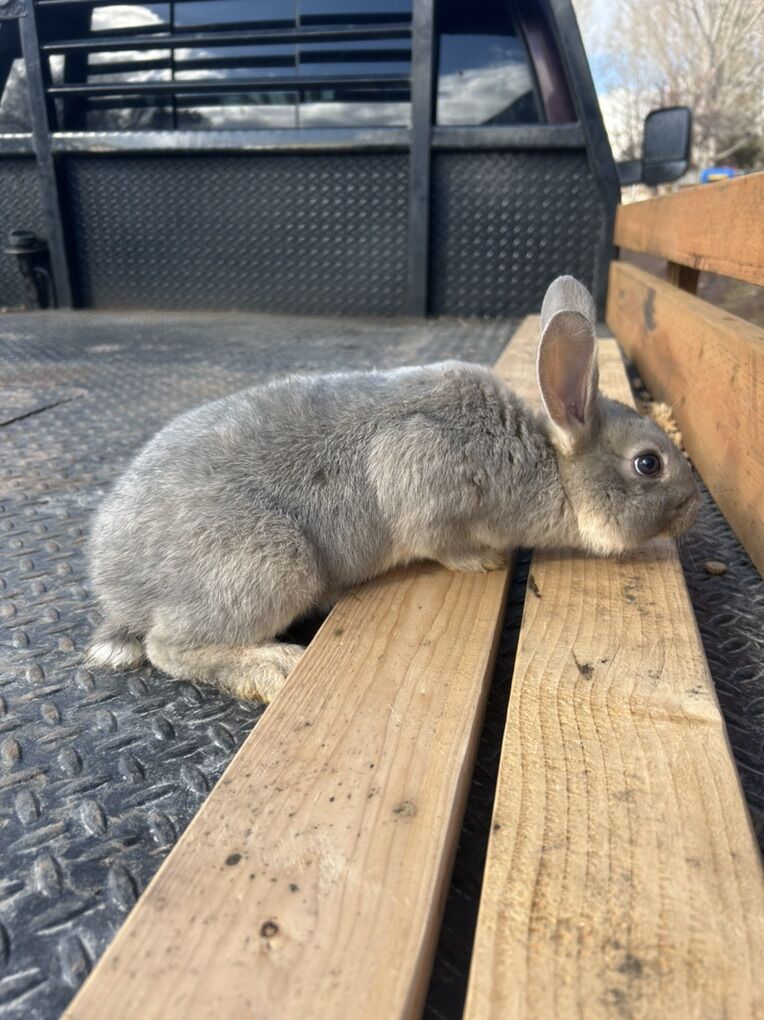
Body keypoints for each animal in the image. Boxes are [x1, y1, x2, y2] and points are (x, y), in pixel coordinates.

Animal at [87, 276, 700, 703]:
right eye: (648, 464)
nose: (694, 507)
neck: (545, 462)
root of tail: (119, 585)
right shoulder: (423, 474)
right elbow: (439, 539)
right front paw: (486, 560)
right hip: (270, 563)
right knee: (168, 647)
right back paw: (272, 666)